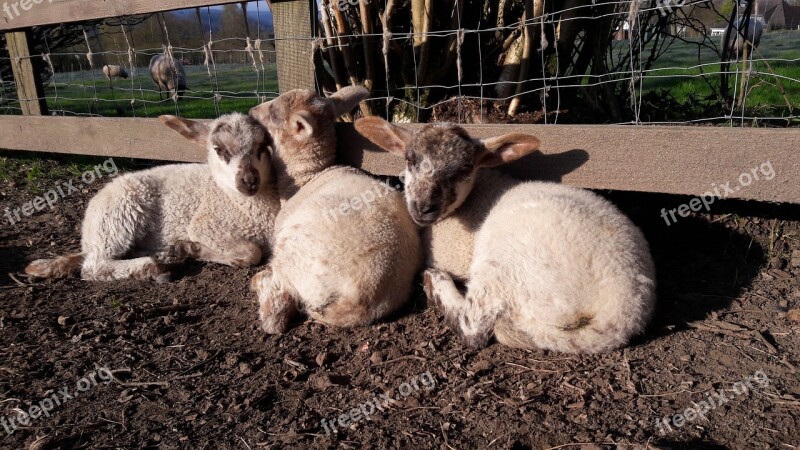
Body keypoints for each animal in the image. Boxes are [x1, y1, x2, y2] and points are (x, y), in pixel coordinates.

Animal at [24, 112, 282, 282]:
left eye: (263, 146)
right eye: (219, 149)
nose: (249, 180)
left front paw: (188, 249)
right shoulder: (206, 226)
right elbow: (252, 253)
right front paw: (194, 249)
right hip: (117, 218)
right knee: (93, 267)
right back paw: (153, 267)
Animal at [248, 87, 424, 334]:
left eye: (274, 113)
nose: (251, 111)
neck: (308, 177)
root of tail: (357, 301)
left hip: (293, 251)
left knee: (277, 307)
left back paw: (259, 285)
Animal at [356, 117, 656, 356]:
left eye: (465, 169)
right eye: (410, 159)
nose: (423, 207)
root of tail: (621, 315)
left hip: (504, 261)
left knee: (473, 327)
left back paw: (434, 281)